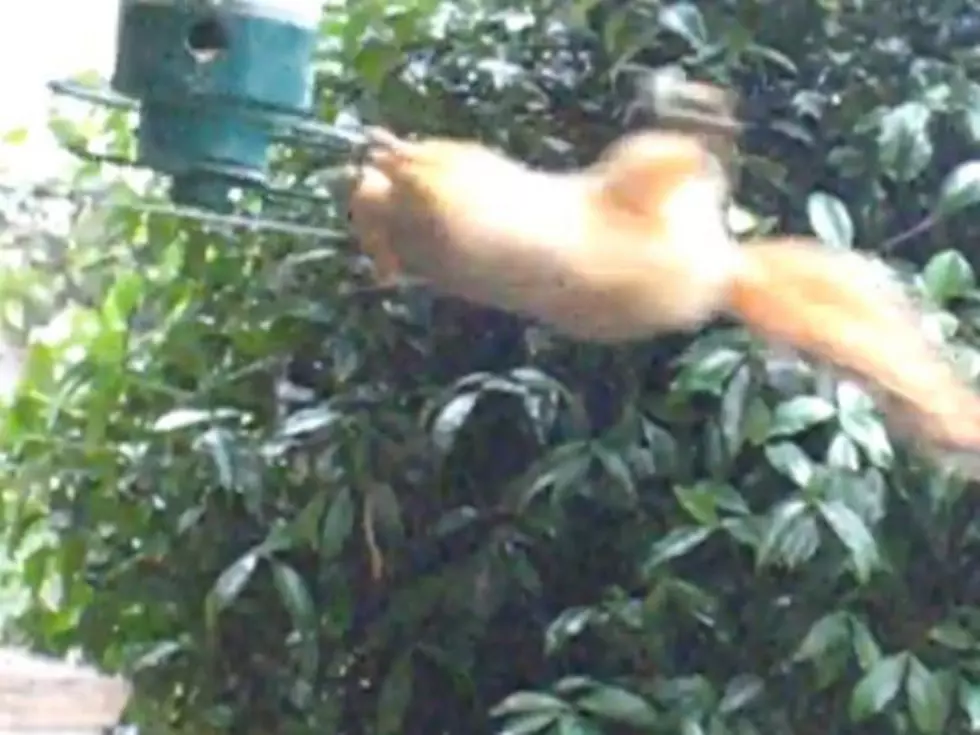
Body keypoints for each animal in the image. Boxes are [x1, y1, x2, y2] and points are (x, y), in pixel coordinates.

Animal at [346, 100, 980, 468]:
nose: (353, 191)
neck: (402, 225)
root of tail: (720, 269)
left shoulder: (454, 187)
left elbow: (429, 170)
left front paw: (386, 150)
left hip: (648, 187)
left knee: (683, 157)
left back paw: (705, 116)